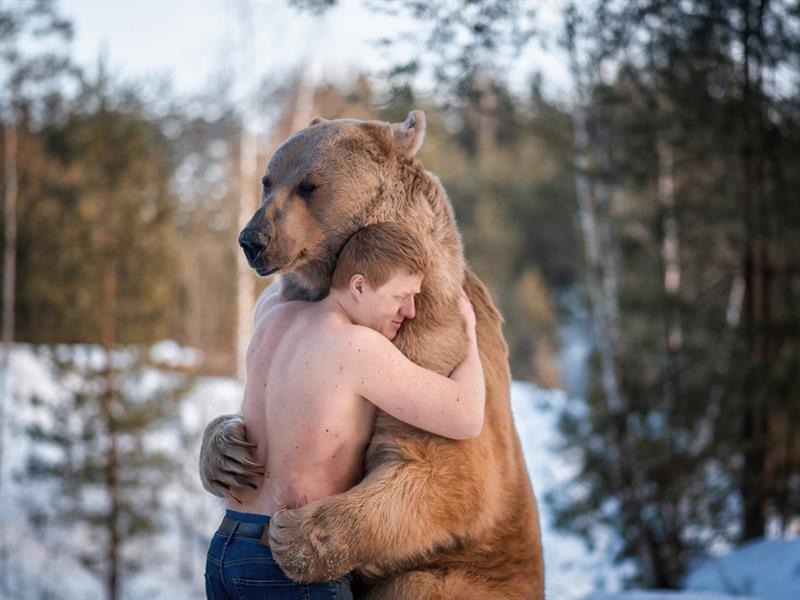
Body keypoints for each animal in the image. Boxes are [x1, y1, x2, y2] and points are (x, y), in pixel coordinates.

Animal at [203, 111, 548, 596]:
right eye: (267, 180)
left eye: (309, 185)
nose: (252, 239)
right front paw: (225, 455)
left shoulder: (431, 346)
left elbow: (445, 466)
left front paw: (297, 535)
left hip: (469, 576)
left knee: (418, 582)